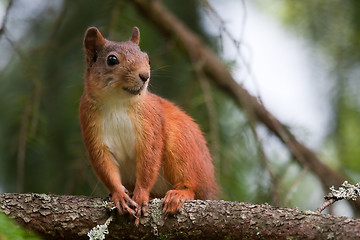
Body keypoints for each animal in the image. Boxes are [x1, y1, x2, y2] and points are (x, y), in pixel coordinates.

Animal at [79, 26, 218, 219]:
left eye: (148, 59)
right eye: (112, 60)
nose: (145, 76)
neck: (117, 102)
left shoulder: (150, 124)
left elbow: (149, 161)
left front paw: (141, 195)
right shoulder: (91, 129)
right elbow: (105, 166)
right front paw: (119, 195)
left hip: (182, 149)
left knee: (192, 186)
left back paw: (178, 194)